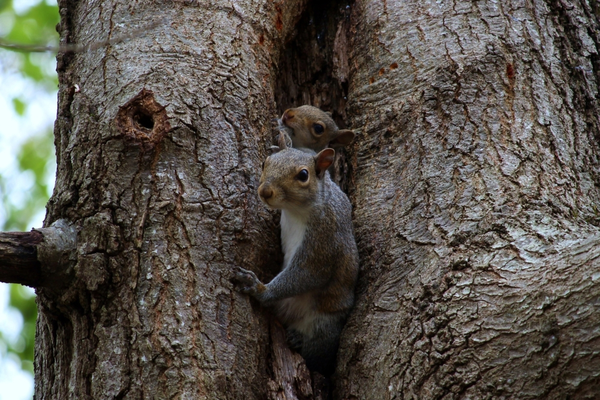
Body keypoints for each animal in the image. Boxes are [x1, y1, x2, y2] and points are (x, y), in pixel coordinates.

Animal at [233, 133, 356, 376]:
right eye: (265, 162)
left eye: (303, 175)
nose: (265, 192)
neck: (295, 211)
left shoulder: (323, 243)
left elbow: (307, 275)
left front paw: (260, 289)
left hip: (324, 325)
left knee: (318, 353)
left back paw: (299, 342)